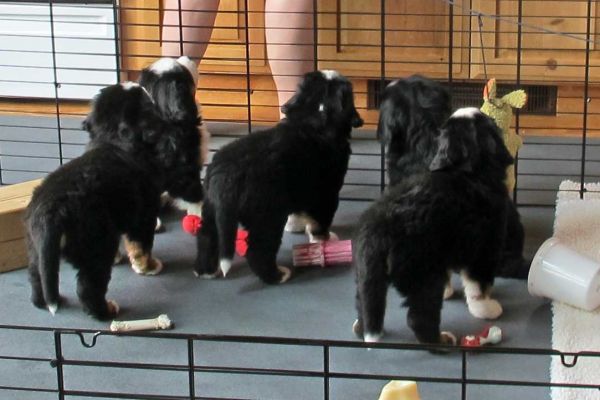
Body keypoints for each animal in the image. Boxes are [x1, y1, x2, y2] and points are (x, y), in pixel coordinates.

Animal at [25, 82, 197, 318]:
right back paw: (106, 310)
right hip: (96, 245)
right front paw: (148, 266)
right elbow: (141, 244)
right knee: (88, 287)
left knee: (37, 276)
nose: (140, 85)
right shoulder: (143, 213)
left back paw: (45, 301)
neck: (112, 140)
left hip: (36, 248)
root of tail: (50, 214)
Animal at [195, 70, 364, 282]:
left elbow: (299, 212)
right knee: (258, 250)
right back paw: (278, 275)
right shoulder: (326, 193)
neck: (311, 120)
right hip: (267, 216)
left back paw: (207, 271)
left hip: (210, 207)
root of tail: (224, 179)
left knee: (207, 237)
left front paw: (295, 226)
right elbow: (320, 221)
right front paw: (323, 239)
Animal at [354, 108, 512, 346]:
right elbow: (479, 284)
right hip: (424, 275)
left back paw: (361, 327)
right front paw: (486, 308)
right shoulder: (485, 246)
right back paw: (442, 341)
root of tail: (379, 230)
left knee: (365, 301)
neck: (465, 169)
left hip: (366, 272)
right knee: (419, 318)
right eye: (488, 122)